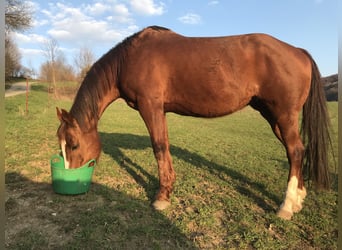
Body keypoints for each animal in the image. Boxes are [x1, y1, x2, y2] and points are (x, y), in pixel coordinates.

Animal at [57, 26, 330, 220]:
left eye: (73, 145)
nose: (68, 177)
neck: (129, 58)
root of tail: (298, 51)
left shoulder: (150, 106)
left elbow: (159, 147)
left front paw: (162, 197)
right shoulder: (159, 110)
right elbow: (163, 146)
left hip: (283, 115)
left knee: (294, 151)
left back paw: (286, 206)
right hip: (273, 116)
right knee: (297, 151)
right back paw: (298, 199)